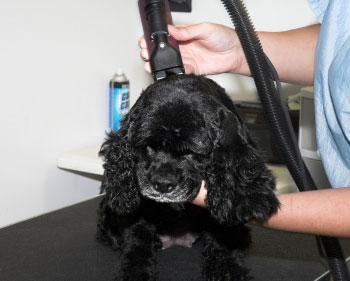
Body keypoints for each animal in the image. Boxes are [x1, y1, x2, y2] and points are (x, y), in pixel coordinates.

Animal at [97, 74, 280, 280]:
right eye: (148, 146)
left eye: (191, 151)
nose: (162, 185)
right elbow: (137, 236)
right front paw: (135, 270)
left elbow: (223, 233)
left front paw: (228, 268)